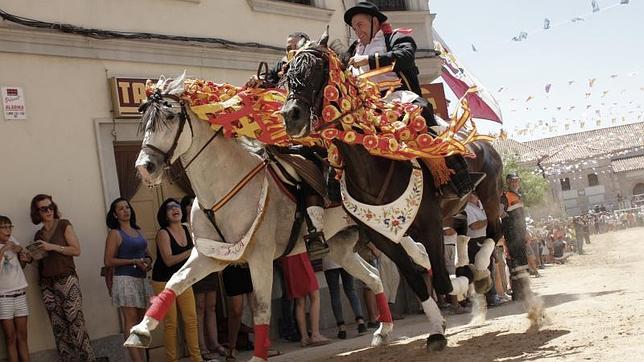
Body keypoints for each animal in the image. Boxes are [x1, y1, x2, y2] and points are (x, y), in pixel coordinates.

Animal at [125, 75, 394, 360]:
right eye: (145, 122)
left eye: (169, 116)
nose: (145, 167)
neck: (225, 186)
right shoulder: (210, 256)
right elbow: (175, 282)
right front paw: (140, 331)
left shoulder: (260, 257)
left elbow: (262, 307)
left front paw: (258, 354)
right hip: (341, 249)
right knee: (373, 276)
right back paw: (383, 330)